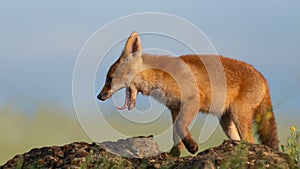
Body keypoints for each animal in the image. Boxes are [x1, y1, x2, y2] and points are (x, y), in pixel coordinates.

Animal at [98, 31, 278, 156]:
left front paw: (192, 146)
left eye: (109, 78)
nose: (99, 96)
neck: (161, 77)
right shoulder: (175, 107)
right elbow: (176, 133)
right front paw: (175, 152)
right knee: (240, 140)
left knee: (250, 141)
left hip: (239, 114)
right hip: (226, 120)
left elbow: (180, 126)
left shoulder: (193, 100)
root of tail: (263, 78)